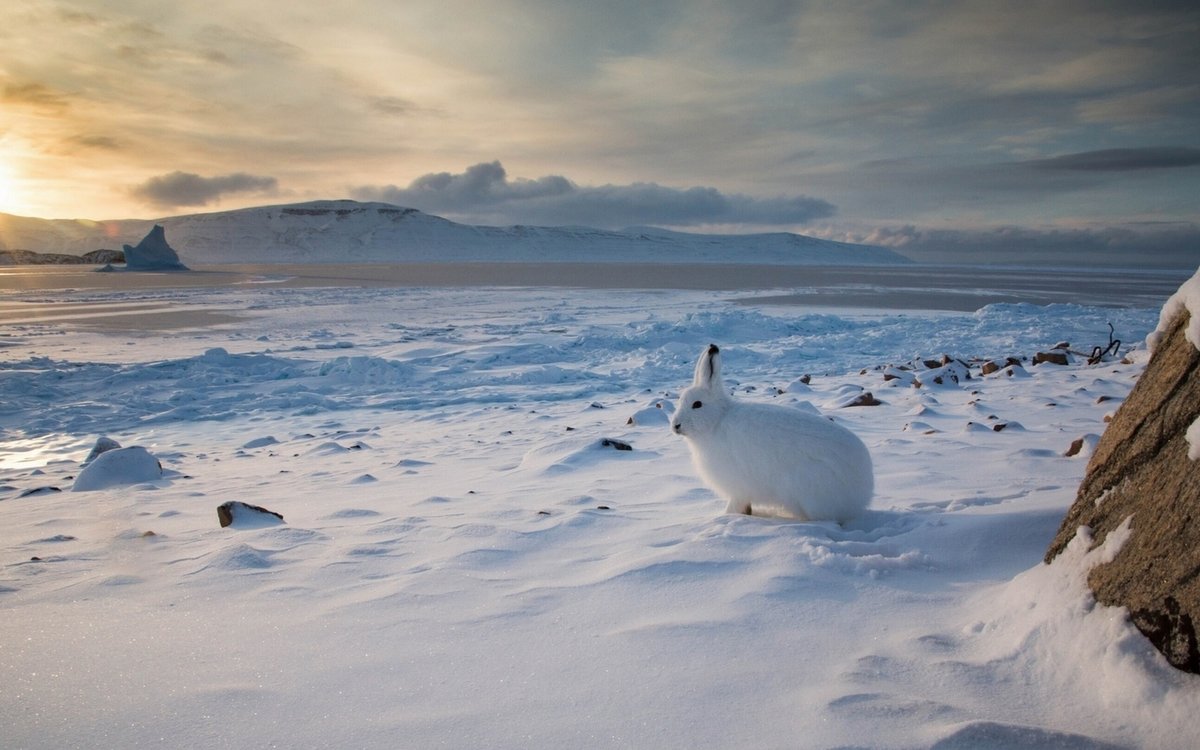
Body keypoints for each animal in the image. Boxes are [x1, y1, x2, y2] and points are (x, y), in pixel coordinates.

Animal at [671, 344, 873, 523]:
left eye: (697, 404)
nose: (675, 425)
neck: (716, 420)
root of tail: (863, 490)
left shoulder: (738, 486)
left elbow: (736, 503)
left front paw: (726, 515)